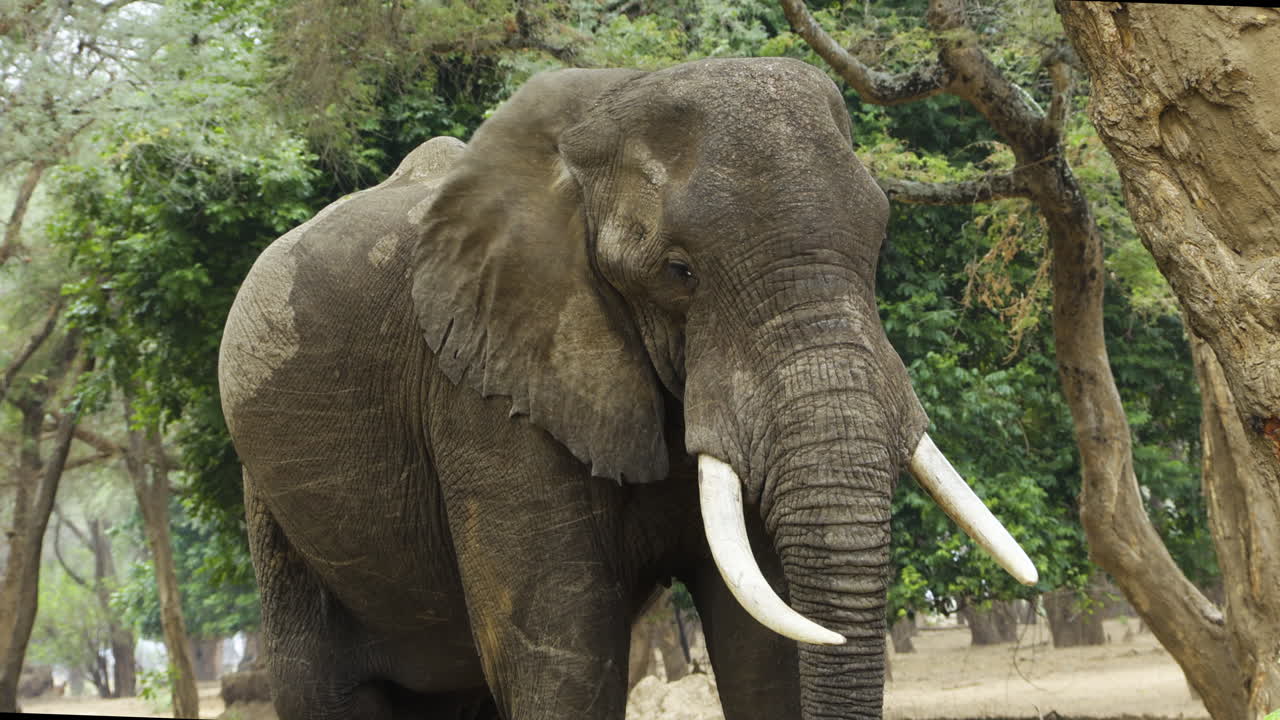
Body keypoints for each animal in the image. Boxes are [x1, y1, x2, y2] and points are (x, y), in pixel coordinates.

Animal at [218, 57, 1036, 720]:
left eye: (880, 245)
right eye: (679, 272)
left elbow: (762, 649)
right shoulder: (482, 391)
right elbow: (562, 658)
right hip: (272, 505)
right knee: (323, 686)